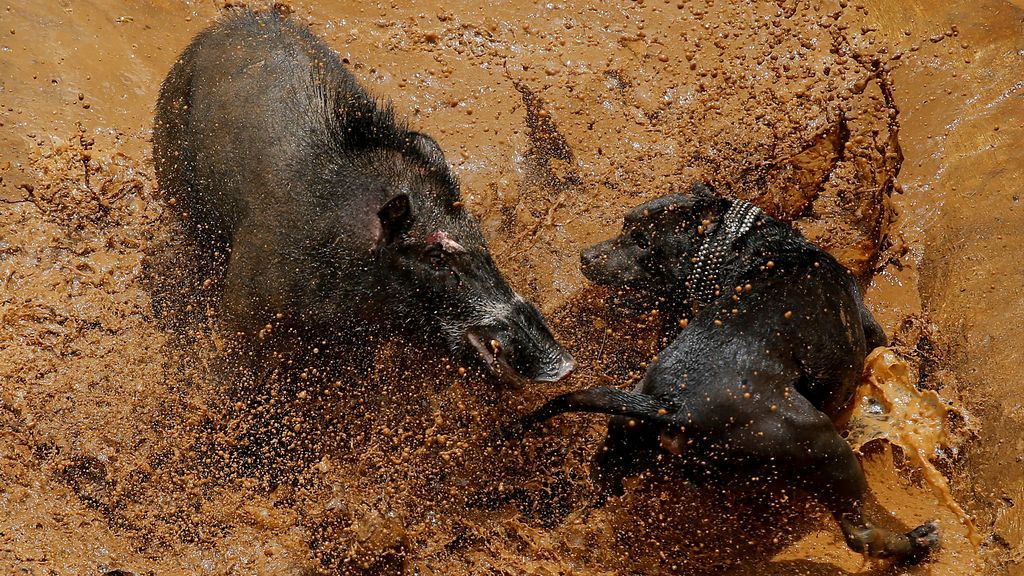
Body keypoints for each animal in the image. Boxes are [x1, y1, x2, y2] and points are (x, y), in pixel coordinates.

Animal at [516, 184, 937, 561]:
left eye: (638, 239)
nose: (586, 256)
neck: (751, 247)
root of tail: (670, 404)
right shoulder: (870, 331)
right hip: (822, 447)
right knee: (858, 530)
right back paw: (915, 543)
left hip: (620, 442)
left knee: (598, 486)